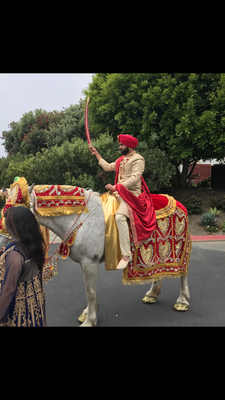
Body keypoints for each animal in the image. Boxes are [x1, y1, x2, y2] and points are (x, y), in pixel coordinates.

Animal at [0, 177, 191, 324]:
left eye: (11, 215)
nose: (1, 240)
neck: (83, 218)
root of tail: (177, 202)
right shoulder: (84, 263)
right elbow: (88, 289)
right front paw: (88, 312)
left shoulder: (89, 262)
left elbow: (90, 291)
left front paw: (90, 320)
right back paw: (152, 293)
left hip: (178, 249)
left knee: (183, 273)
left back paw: (182, 301)